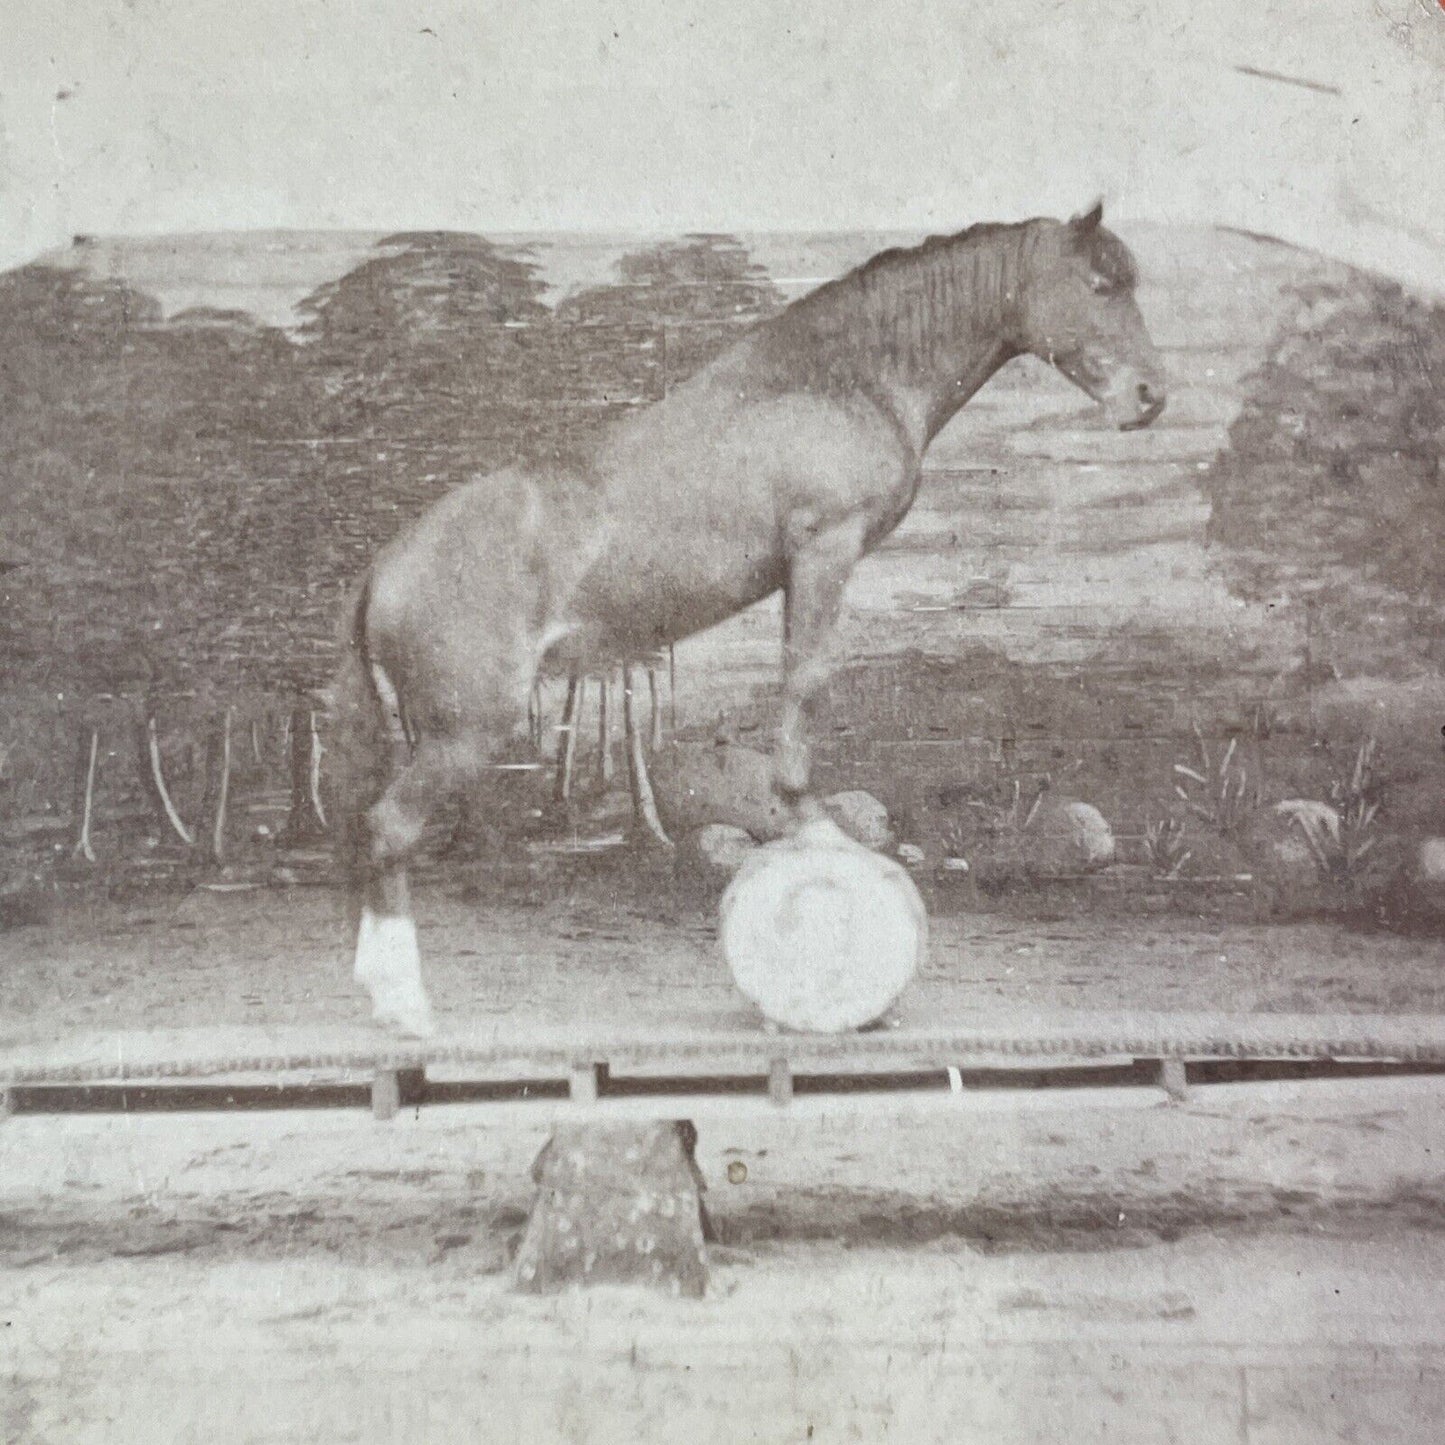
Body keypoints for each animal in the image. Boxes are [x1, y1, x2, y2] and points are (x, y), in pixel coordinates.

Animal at [328, 206, 1161, 1040]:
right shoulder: (823, 547)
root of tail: (384, 569)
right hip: (467, 732)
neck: (842, 377)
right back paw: (405, 1003)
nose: (1149, 396)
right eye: (1098, 284)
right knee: (388, 828)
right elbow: (803, 682)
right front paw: (810, 823)